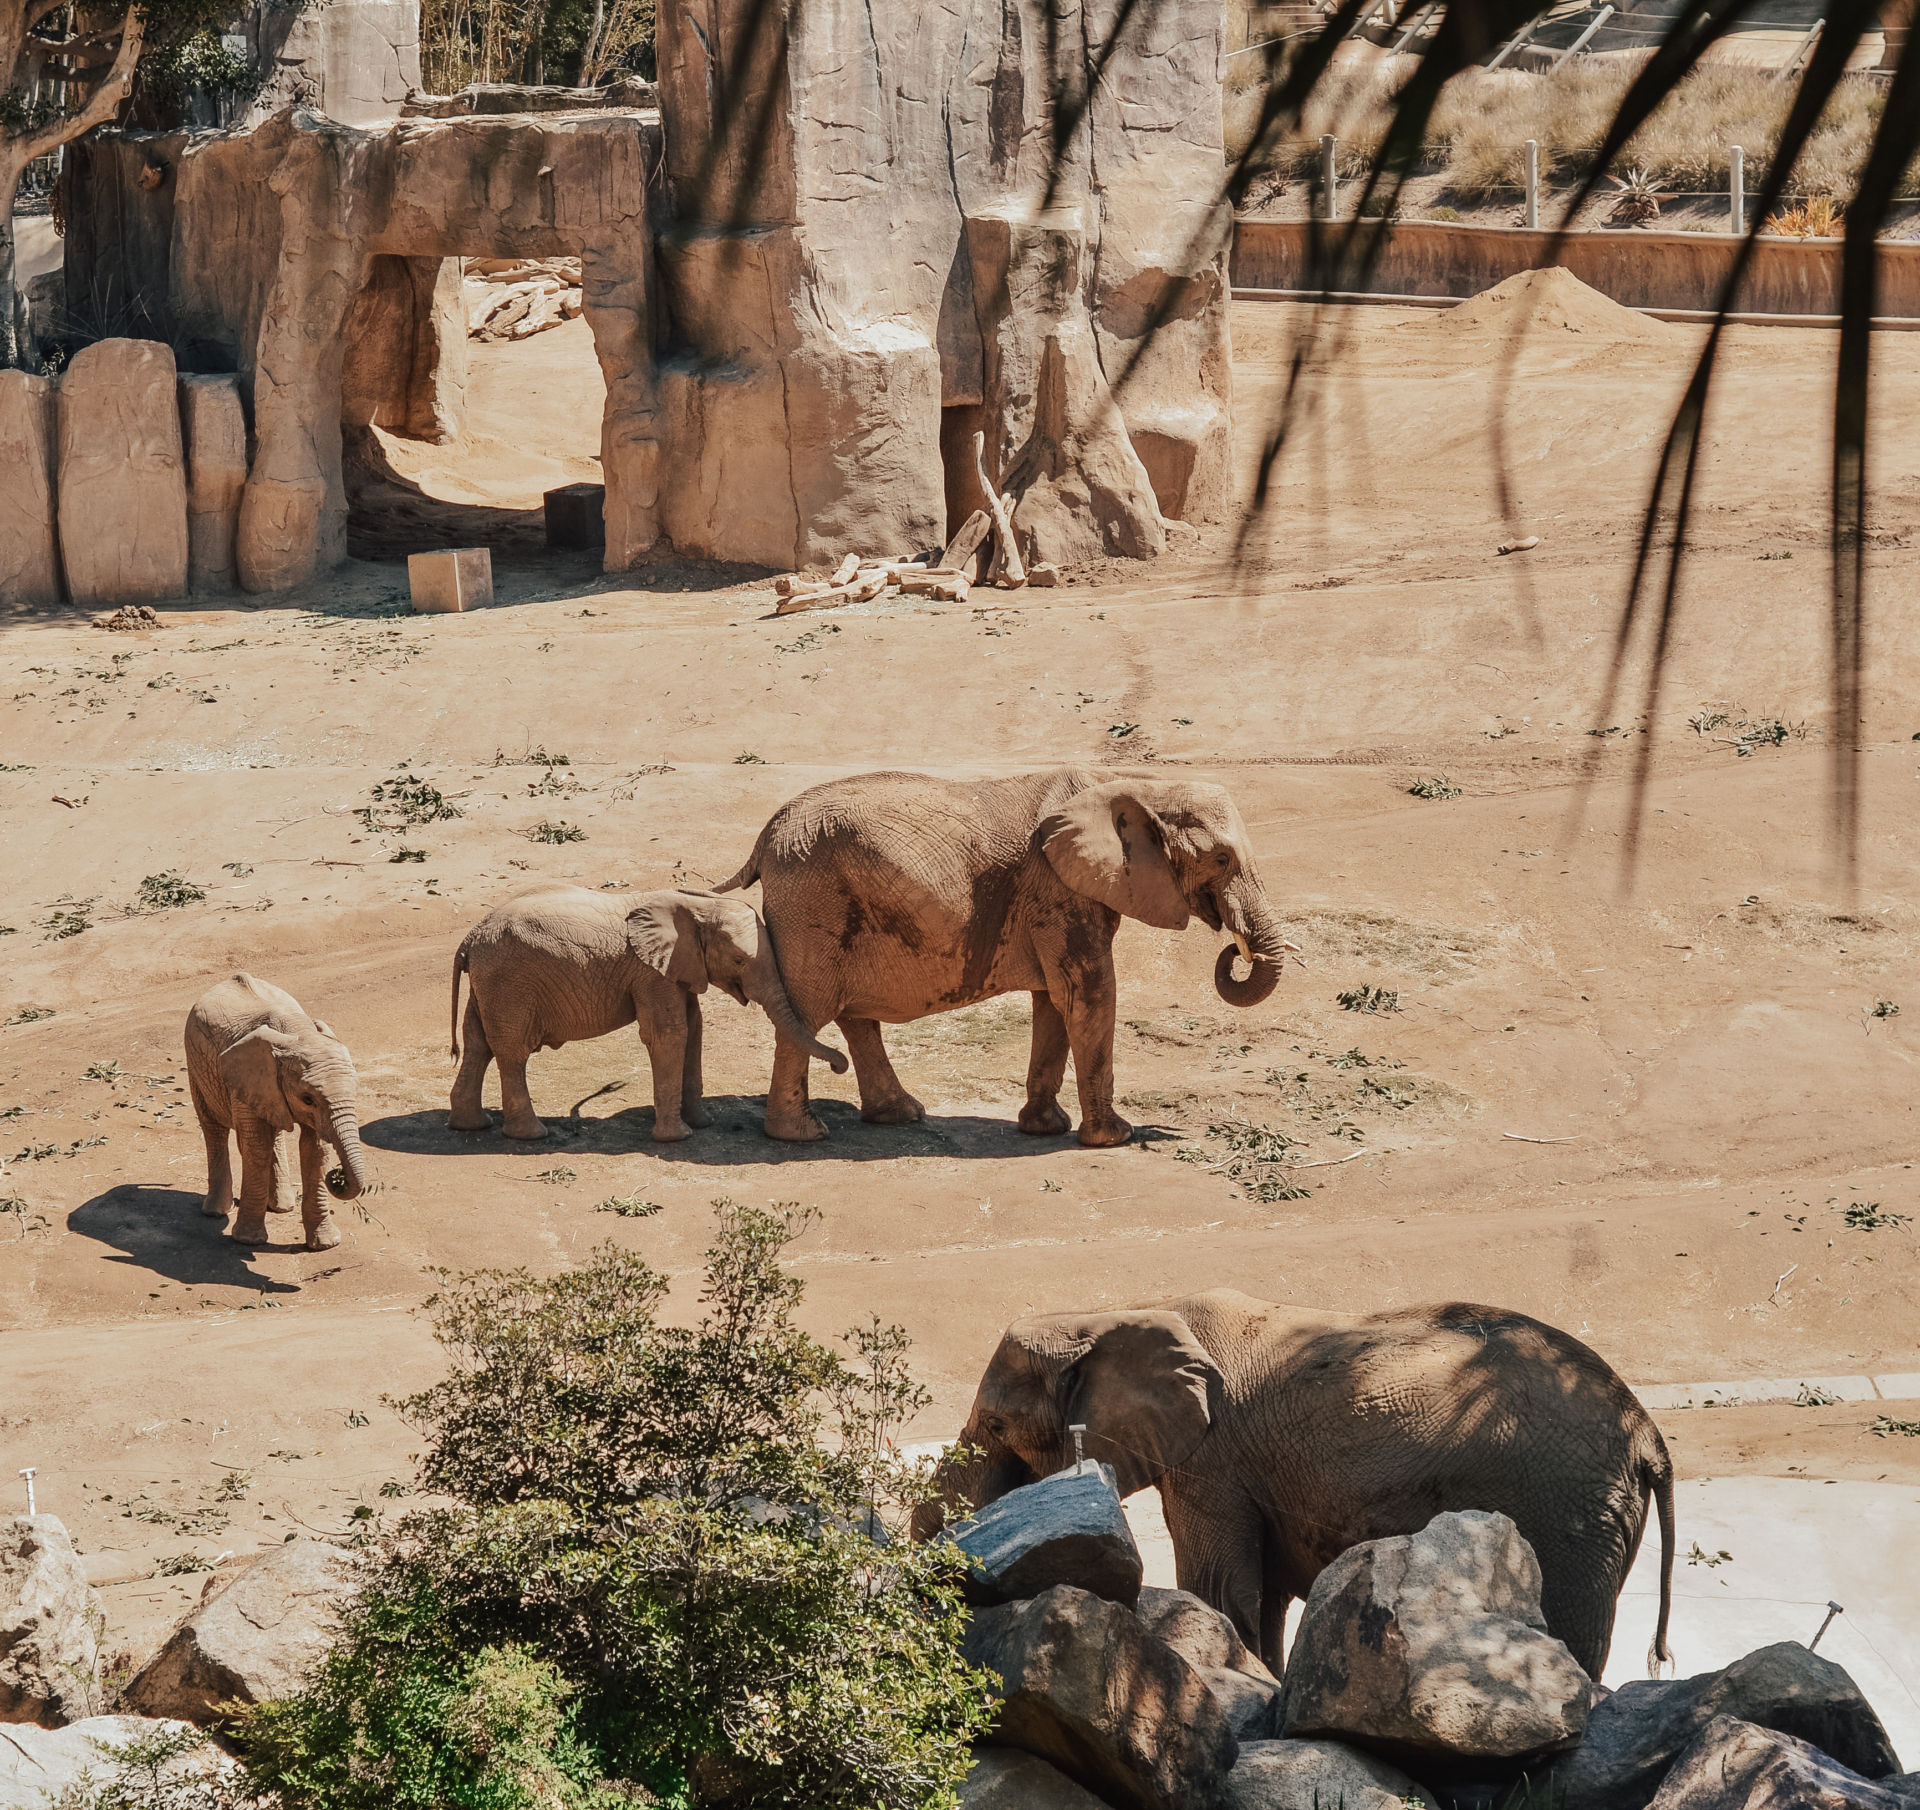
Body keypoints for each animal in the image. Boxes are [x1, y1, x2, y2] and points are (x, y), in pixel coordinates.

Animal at [183, 971, 370, 1251]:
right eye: (307, 1099)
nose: (337, 1177)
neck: (297, 1032)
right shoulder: (248, 1078)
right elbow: (257, 1145)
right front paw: (248, 1241)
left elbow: (315, 1149)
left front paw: (325, 1244)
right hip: (196, 1064)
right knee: (214, 1128)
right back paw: (217, 1211)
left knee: (275, 1133)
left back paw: (282, 1206)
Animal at [449, 882, 848, 1136]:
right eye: (738, 960)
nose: (839, 1064)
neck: (697, 906)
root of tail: (468, 939)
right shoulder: (650, 973)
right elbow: (669, 1034)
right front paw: (679, 1137)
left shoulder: (677, 968)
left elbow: (693, 1028)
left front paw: (702, 1124)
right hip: (508, 984)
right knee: (512, 1052)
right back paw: (532, 1135)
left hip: (490, 984)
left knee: (477, 1045)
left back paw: (473, 1125)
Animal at [721, 767, 1290, 1143]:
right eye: (1222, 859)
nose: (1233, 948)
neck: (1138, 783)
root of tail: (766, 835)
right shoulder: (1058, 889)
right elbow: (1089, 992)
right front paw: (1114, 1137)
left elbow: (1055, 1001)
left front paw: (1044, 1129)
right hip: (814, 901)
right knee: (810, 1012)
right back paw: (802, 1135)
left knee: (852, 1018)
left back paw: (900, 1115)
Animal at [921, 1297, 1674, 1673]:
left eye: (995, 1423)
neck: (1114, 1311)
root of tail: (1648, 1434)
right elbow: (1261, 1597)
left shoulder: (1214, 1461)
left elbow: (1218, 1587)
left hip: (1569, 1508)